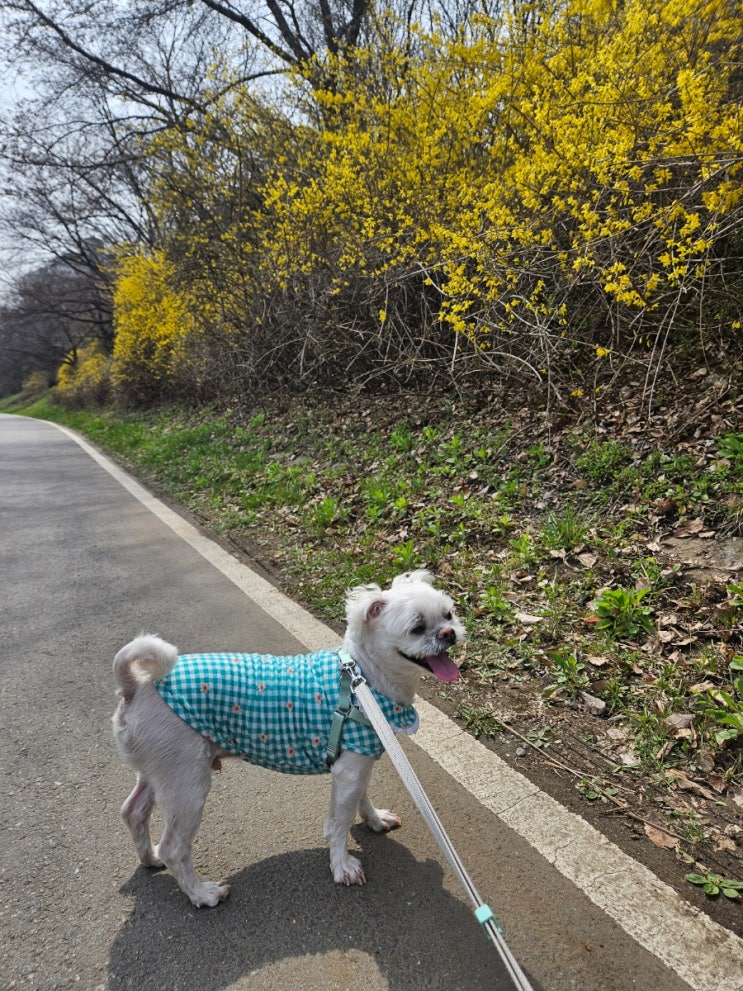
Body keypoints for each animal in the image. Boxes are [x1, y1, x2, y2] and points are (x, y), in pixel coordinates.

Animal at [111, 572, 464, 908]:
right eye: (417, 627)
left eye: (448, 613)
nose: (449, 633)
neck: (364, 680)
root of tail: (135, 687)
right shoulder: (350, 769)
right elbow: (340, 820)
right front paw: (342, 865)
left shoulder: (358, 760)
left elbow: (361, 799)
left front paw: (375, 819)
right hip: (186, 782)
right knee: (174, 847)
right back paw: (202, 894)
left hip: (159, 771)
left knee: (133, 812)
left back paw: (150, 857)